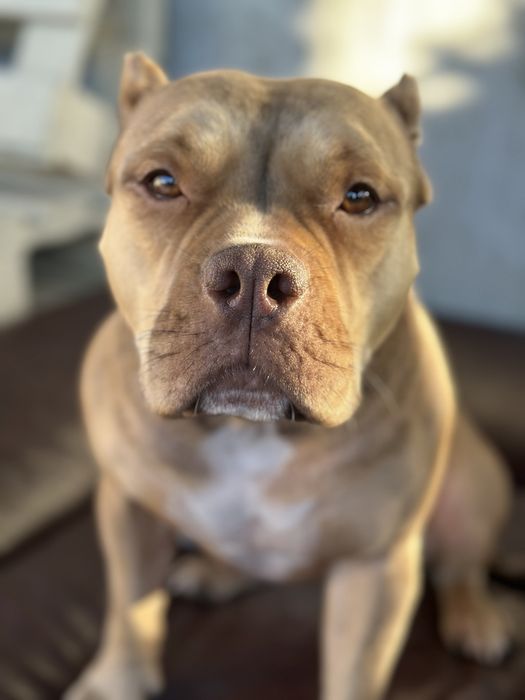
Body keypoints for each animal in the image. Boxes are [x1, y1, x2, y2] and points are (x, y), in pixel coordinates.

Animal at [65, 53, 512, 700]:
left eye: (360, 196)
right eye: (162, 183)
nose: (254, 272)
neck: (247, 432)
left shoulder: (376, 568)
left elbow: (355, 674)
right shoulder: (126, 506)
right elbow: (130, 608)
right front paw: (114, 680)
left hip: (472, 495)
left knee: (461, 568)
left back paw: (477, 619)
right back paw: (215, 570)